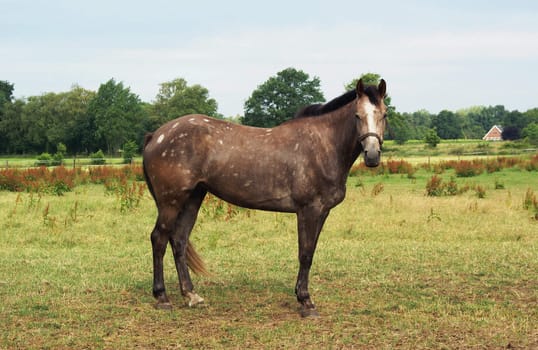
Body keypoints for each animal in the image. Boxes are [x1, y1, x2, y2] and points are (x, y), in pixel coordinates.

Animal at [142, 78, 386, 318]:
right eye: (357, 116)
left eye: (384, 114)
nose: (372, 156)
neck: (323, 145)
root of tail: (156, 135)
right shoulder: (308, 210)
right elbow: (305, 253)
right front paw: (306, 302)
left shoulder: (322, 212)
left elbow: (311, 251)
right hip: (171, 202)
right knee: (159, 239)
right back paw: (162, 297)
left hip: (192, 198)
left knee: (179, 240)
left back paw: (192, 296)